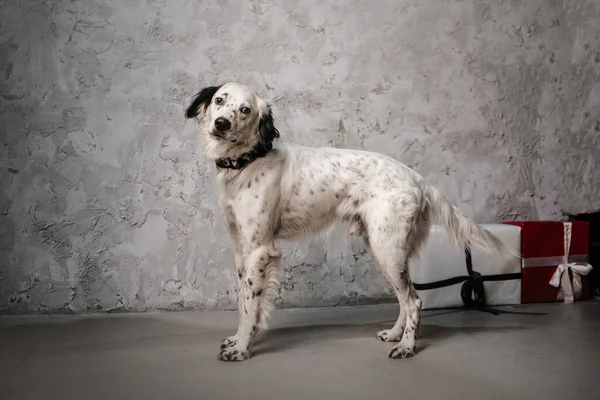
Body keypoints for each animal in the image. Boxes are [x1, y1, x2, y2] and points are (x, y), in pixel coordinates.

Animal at [186, 82, 510, 362]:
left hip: (386, 250)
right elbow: (243, 303)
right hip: (385, 251)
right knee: (405, 299)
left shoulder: (259, 250)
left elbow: (251, 304)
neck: (247, 162)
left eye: (245, 110)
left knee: (414, 301)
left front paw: (242, 349)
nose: (221, 124)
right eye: (219, 100)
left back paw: (407, 346)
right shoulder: (242, 251)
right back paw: (395, 335)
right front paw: (237, 339)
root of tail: (415, 177)